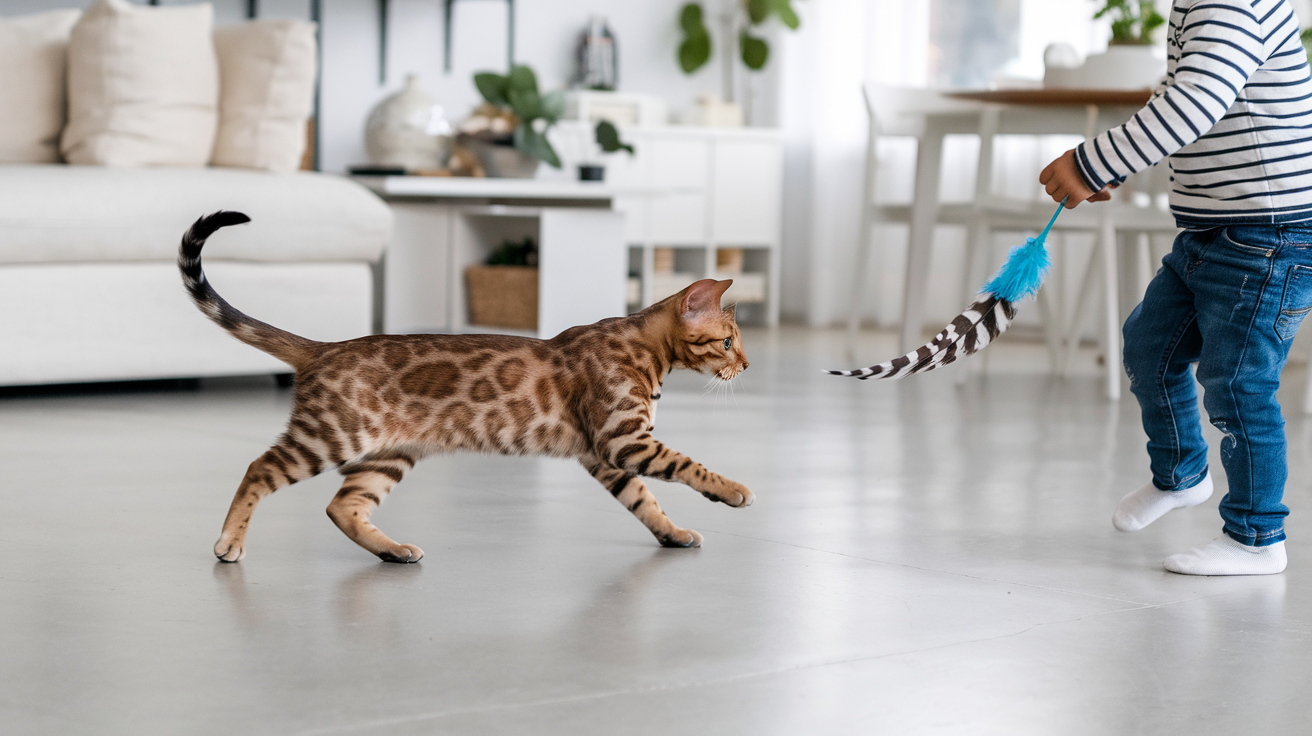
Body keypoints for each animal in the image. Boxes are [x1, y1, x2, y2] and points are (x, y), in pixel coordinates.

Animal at [179, 211, 755, 561]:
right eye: (728, 342)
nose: (747, 366)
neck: (642, 351)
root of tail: (324, 347)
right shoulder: (623, 441)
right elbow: (689, 465)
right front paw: (734, 490)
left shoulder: (604, 456)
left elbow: (647, 502)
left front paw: (674, 534)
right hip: (331, 437)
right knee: (259, 468)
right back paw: (229, 542)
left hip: (389, 454)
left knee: (342, 506)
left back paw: (393, 550)